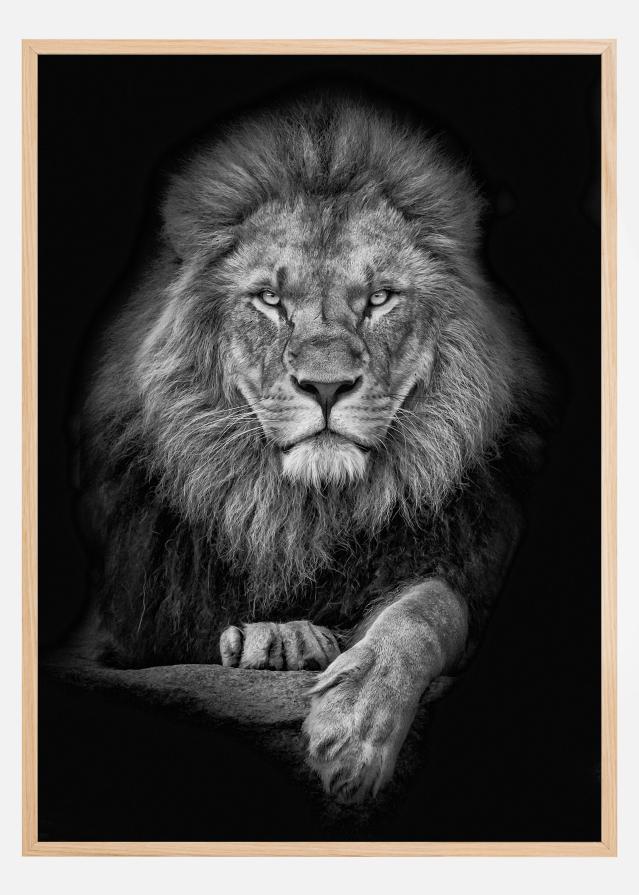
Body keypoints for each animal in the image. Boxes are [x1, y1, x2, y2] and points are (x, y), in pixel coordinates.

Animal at [75, 90, 548, 805]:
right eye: (270, 300)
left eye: (379, 298)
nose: (326, 386)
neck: (302, 514)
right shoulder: (126, 626)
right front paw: (282, 637)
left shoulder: (465, 558)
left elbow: (428, 608)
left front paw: (356, 728)